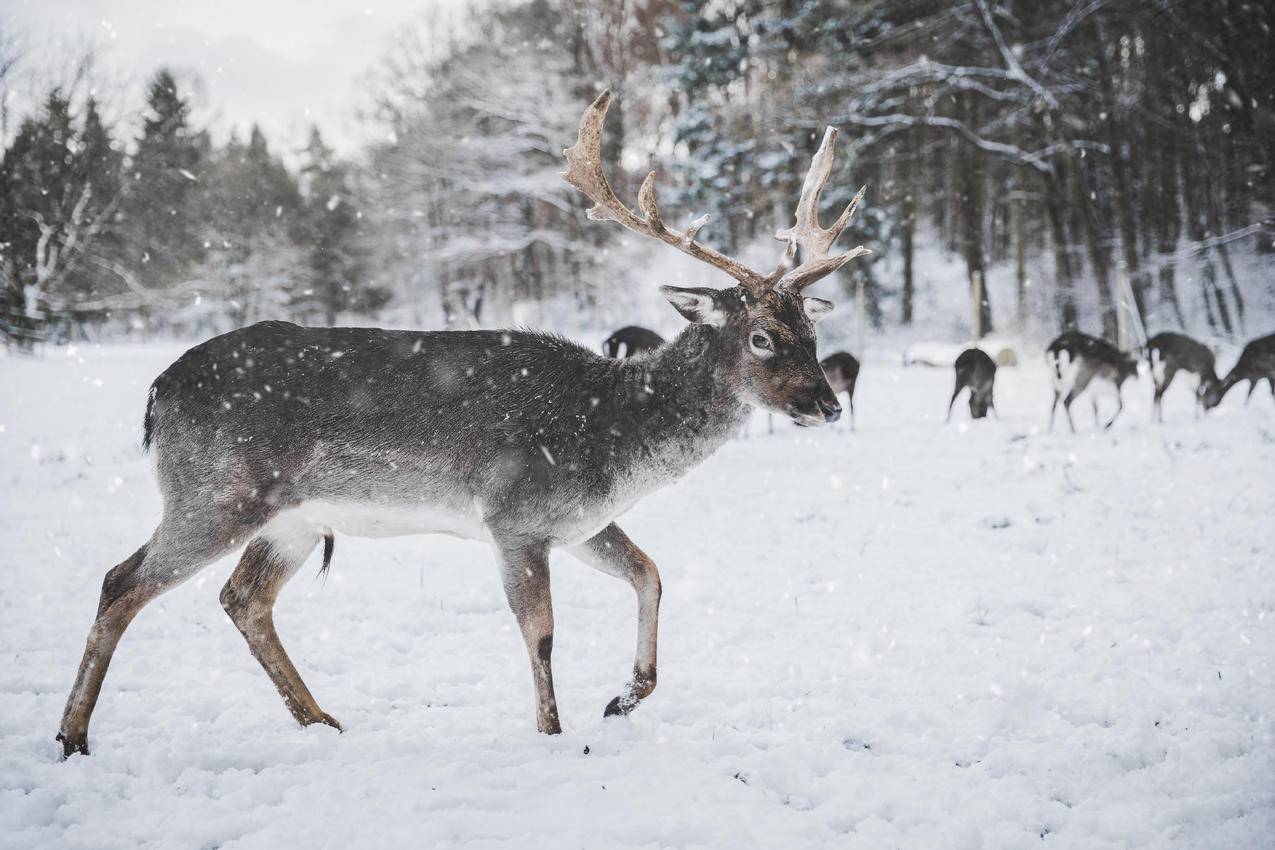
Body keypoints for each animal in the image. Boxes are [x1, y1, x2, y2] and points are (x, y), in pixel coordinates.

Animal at [54, 93, 872, 759]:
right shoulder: (516, 514)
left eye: (809, 327)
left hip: (289, 518)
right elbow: (541, 632)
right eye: (761, 337)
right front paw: (553, 734)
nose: (827, 405)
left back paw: (322, 721)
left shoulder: (579, 522)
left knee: (242, 598)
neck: (614, 439)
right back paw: (73, 736)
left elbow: (651, 573)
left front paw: (622, 698)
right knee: (121, 581)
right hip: (215, 491)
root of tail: (156, 394)